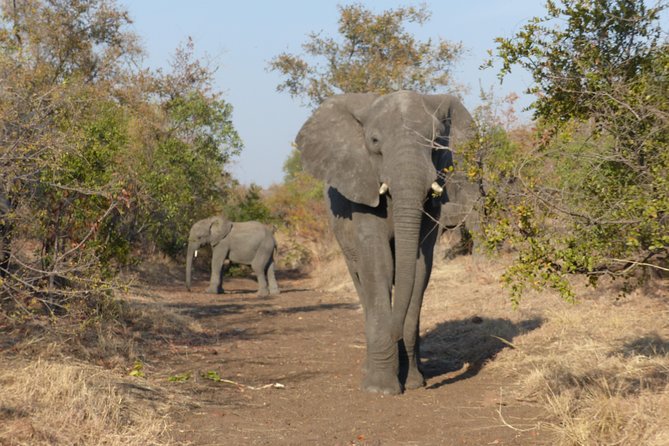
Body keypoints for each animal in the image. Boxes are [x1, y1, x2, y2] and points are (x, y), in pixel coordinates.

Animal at [294, 90, 472, 394]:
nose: (394, 334)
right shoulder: (360, 186)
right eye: (375, 142)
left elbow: (418, 269)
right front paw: (380, 389)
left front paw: (412, 383)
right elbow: (379, 265)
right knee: (361, 281)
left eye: (437, 141)